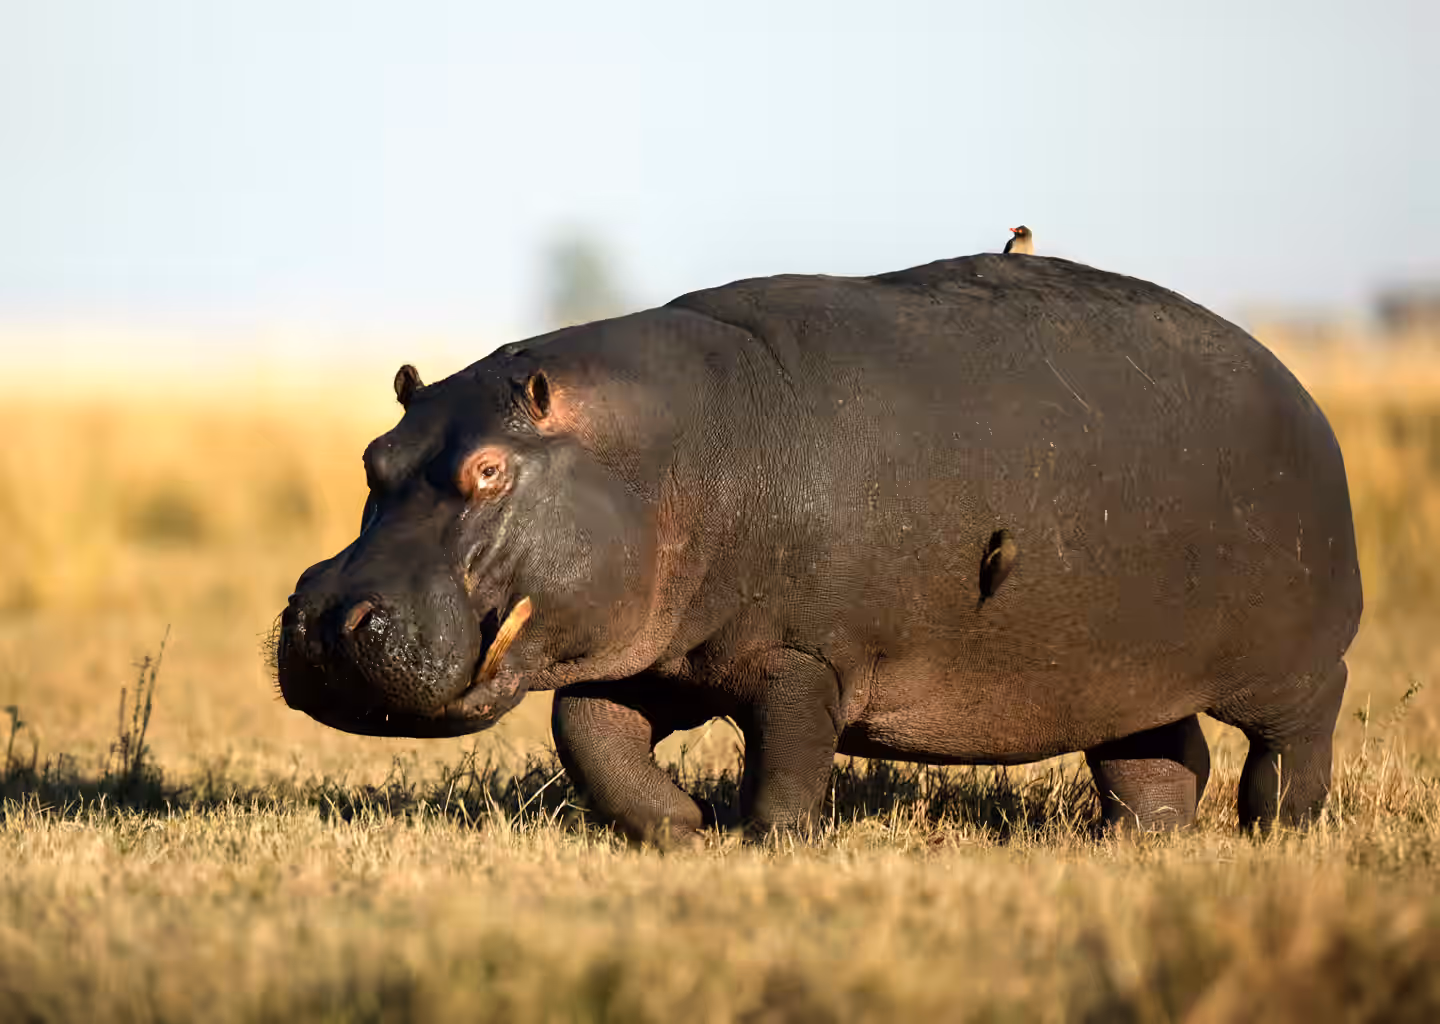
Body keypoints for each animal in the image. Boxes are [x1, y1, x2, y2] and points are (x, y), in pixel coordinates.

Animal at [276, 253, 1363, 842]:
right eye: (375, 457)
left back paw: (1276, 826)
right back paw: (1136, 841)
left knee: (1299, 727)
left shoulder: (803, 656)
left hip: (1287, 663)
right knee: (1157, 753)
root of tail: (1298, 385)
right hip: (1126, 671)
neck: (670, 453)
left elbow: (789, 753)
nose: (325, 621)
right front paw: (680, 831)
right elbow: (589, 733)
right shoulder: (664, 655)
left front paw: (770, 842)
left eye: (491, 470)